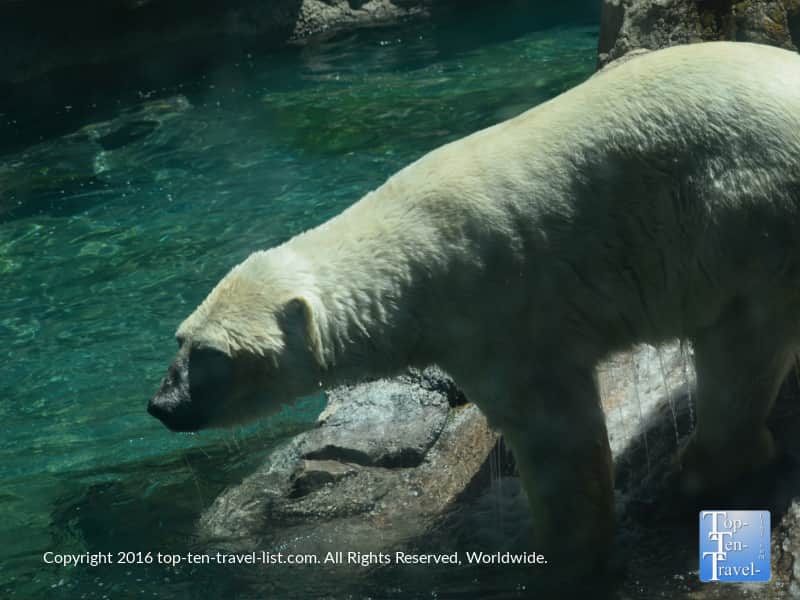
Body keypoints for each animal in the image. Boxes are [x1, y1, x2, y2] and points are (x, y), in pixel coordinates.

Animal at [149, 42, 800, 573]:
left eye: (208, 354)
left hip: (745, 213)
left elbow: (555, 432)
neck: (410, 259)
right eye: (179, 339)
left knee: (739, 345)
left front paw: (562, 551)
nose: (162, 405)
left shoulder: (500, 308)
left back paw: (700, 472)